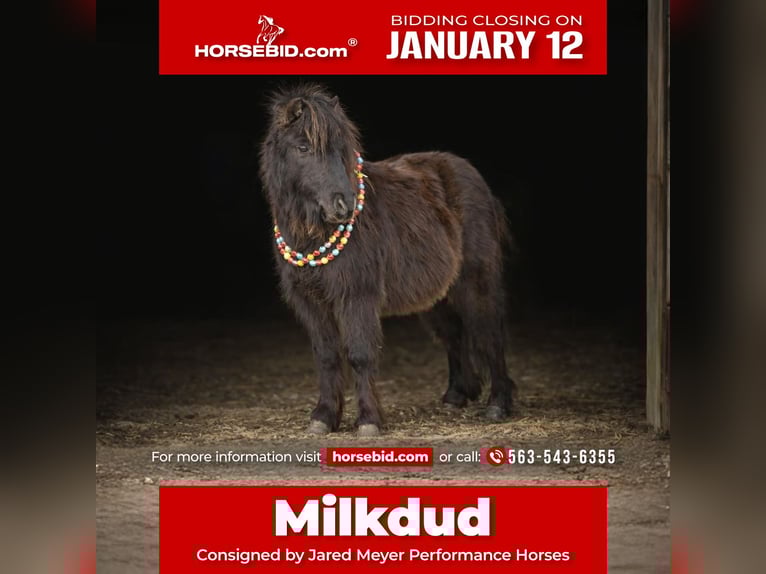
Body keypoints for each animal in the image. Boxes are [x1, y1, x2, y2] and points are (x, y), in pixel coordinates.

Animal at [259, 84, 516, 436]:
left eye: (342, 149)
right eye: (303, 147)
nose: (343, 206)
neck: (310, 234)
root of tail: (474, 178)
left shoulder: (357, 296)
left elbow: (360, 354)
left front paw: (368, 421)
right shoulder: (311, 302)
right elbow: (326, 357)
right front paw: (323, 418)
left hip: (476, 282)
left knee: (489, 332)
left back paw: (498, 405)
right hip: (437, 295)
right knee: (453, 335)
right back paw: (456, 396)